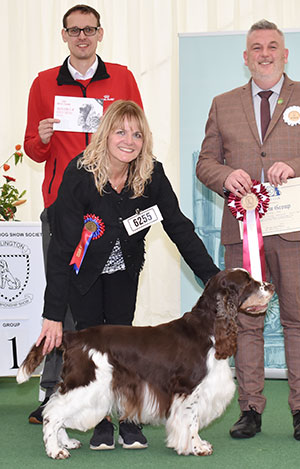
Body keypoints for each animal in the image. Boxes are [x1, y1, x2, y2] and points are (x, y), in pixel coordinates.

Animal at [16, 268, 274, 458]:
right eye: (248, 282)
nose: (270, 285)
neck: (209, 329)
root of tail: (73, 336)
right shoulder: (189, 388)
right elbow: (191, 421)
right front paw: (197, 447)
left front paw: (198, 445)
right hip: (87, 385)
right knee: (53, 412)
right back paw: (55, 450)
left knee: (55, 408)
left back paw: (67, 442)